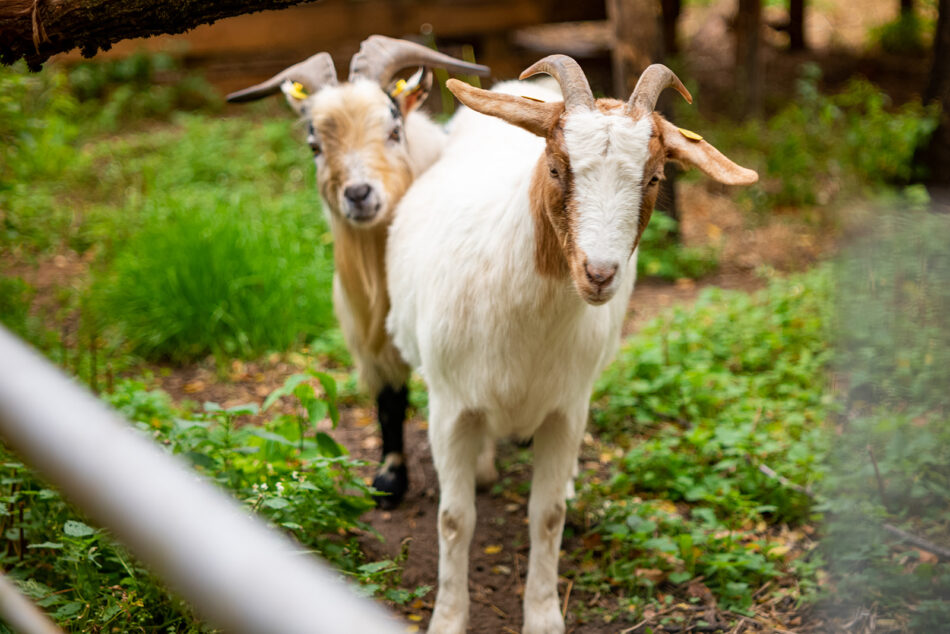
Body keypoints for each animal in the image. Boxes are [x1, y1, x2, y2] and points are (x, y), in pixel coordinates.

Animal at [226, 37, 488, 506]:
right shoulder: (368, 341)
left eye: (394, 130)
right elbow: (389, 402)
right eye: (314, 145)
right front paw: (389, 480)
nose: (360, 194)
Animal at [386, 56, 760, 628]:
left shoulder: (566, 410)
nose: (599, 274)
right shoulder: (449, 406)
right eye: (558, 168)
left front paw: (543, 616)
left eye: (654, 177)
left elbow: (547, 516)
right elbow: (454, 519)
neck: (528, 321)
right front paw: (448, 618)